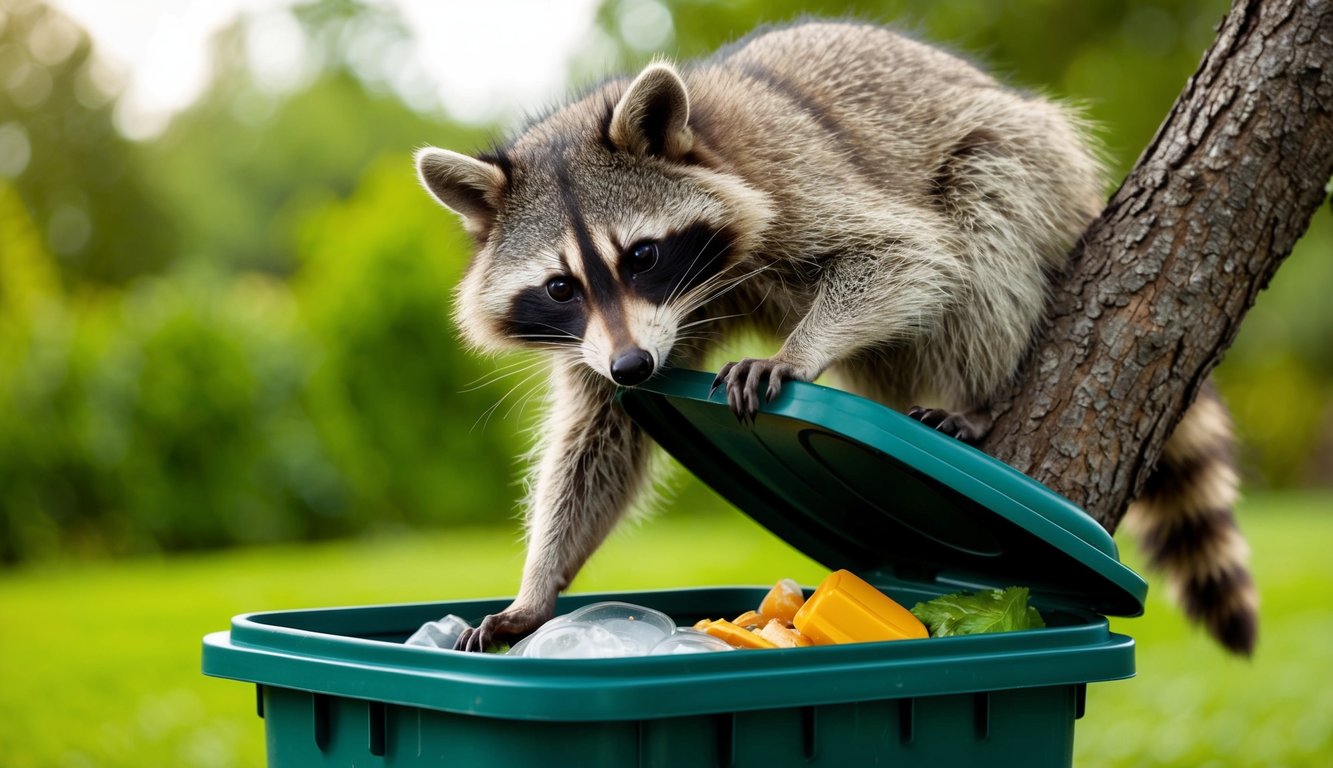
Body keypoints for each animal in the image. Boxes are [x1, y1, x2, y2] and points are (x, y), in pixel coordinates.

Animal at [415, 21, 1255, 654]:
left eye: (642, 256)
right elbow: (598, 435)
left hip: (1028, 155)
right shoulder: (599, 337)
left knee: (986, 217)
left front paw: (796, 353)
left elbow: (907, 252)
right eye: (561, 287)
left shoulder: (790, 179)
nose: (632, 365)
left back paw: (977, 392)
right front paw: (539, 585)